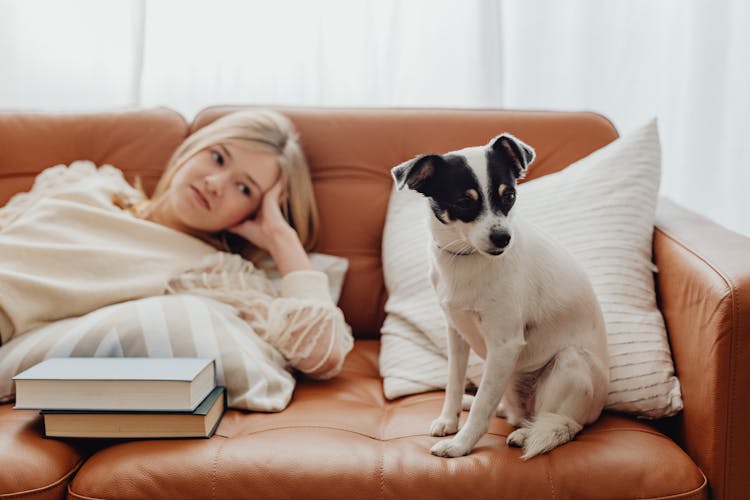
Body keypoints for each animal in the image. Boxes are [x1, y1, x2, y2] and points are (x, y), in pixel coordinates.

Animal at [394, 134, 612, 460]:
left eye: (509, 196)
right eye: (463, 202)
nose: (503, 238)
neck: (466, 259)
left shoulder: (505, 343)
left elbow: (482, 404)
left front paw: (461, 445)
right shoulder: (456, 333)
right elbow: (454, 383)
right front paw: (449, 419)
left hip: (569, 363)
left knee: (560, 421)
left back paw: (525, 433)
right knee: (504, 408)